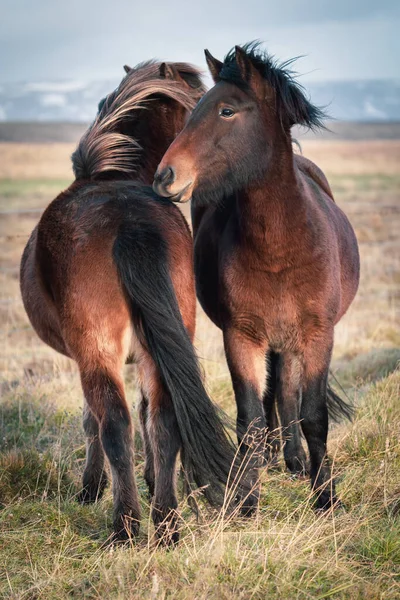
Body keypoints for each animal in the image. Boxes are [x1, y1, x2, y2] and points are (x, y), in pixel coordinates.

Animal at [21, 59, 244, 544]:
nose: (177, 178)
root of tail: (129, 223)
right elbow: (149, 418)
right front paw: (152, 479)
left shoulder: (88, 357)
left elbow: (93, 421)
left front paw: (90, 489)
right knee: (163, 419)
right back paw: (166, 524)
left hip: (97, 351)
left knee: (114, 425)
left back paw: (125, 524)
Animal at [152, 43, 360, 510]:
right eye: (193, 113)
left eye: (227, 111)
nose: (164, 176)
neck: (280, 248)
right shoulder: (242, 336)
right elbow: (249, 418)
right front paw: (247, 499)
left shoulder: (318, 335)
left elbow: (313, 415)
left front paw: (325, 496)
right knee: (272, 396)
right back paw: (274, 458)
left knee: (285, 392)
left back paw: (296, 460)